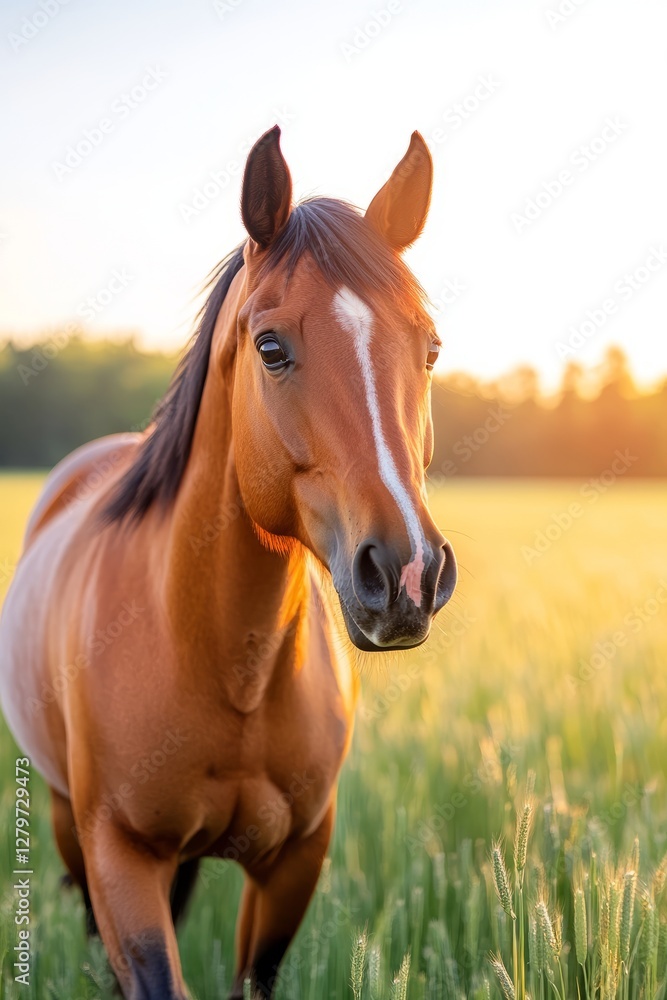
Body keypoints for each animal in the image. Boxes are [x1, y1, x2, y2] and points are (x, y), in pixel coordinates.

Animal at [0, 126, 457, 999]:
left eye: (430, 348)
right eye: (270, 347)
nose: (407, 574)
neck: (222, 663)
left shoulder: (293, 865)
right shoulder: (120, 857)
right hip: (68, 821)